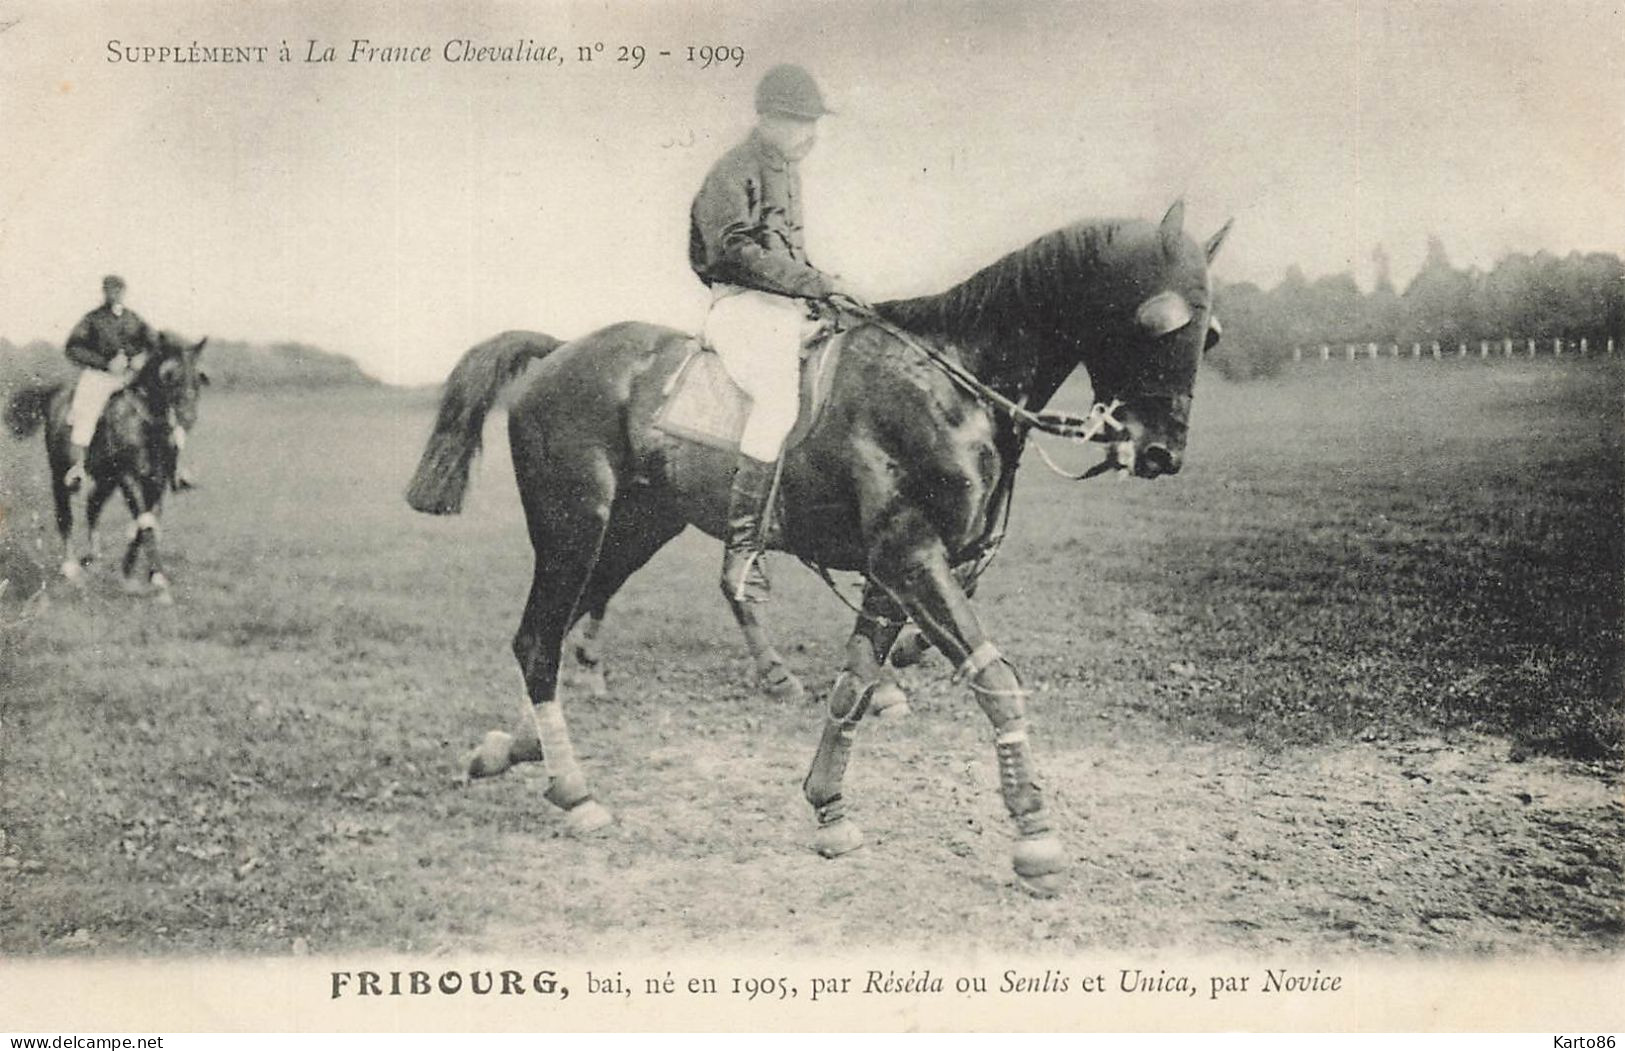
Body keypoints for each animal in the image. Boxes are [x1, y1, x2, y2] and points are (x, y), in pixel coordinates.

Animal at [5, 333, 209, 604]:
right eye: (169, 375)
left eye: (197, 376)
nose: (188, 417)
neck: (143, 424)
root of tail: (56, 393)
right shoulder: (128, 477)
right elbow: (144, 523)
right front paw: (158, 581)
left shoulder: (156, 481)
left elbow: (146, 522)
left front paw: (130, 573)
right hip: (61, 473)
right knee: (65, 516)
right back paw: (71, 568)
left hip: (105, 479)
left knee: (93, 507)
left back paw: (92, 557)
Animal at [409, 201, 1228, 890]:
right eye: (1157, 323)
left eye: (1210, 333)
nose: (1162, 453)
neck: (951, 386)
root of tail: (559, 351)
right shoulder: (909, 557)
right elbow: (993, 676)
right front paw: (1034, 832)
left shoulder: (896, 573)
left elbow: (854, 684)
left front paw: (829, 808)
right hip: (573, 526)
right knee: (538, 638)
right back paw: (574, 790)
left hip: (637, 529)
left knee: (563, 626)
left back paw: (515, 748)